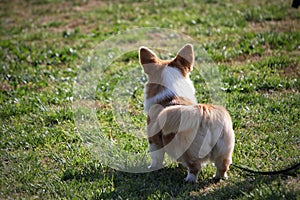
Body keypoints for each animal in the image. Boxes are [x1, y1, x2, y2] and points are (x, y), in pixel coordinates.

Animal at [139, 44, 236, 183]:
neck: (171, 95)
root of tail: (204, 113)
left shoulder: (154, 140)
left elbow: (156, 157)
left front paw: (152, 167)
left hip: (189, 150)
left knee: (195, 167)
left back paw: (189, 180)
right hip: (224, 148)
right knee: (223, 165)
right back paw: (218, 177)